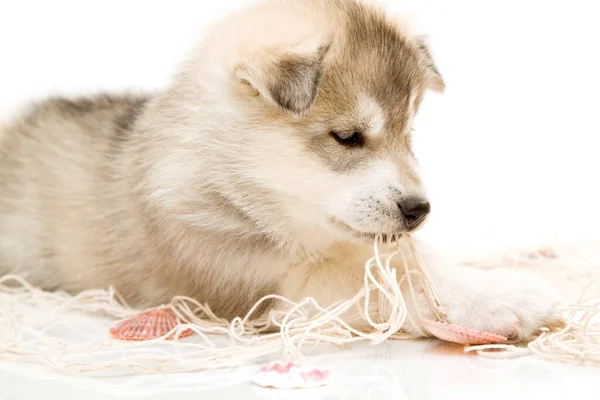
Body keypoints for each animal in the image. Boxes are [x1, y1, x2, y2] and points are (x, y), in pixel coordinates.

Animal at [0, 0, 556, 340]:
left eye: (410, 135)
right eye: (347, 136)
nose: (420, 210)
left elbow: (416, 262)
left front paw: (486, 280)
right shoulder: (262, 283)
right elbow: (382, 279)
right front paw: (496, 301)